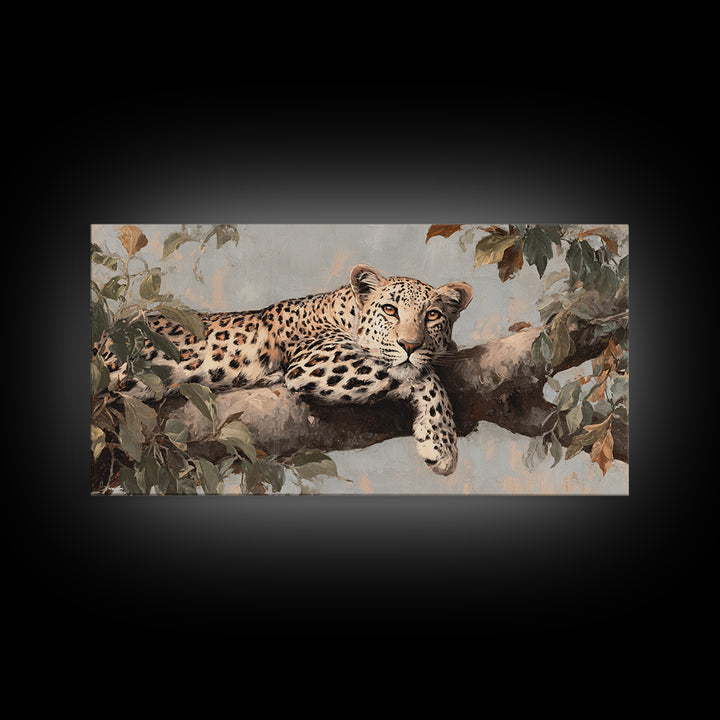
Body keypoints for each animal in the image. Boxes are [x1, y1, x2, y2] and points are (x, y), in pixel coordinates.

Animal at [107, 265, 473, 475]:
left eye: (432, 316)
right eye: (390, 310)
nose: (410, 345)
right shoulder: (316, 361)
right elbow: (420, 377)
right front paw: (441, 444)